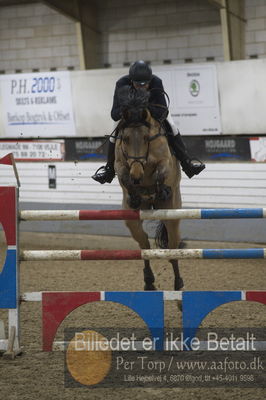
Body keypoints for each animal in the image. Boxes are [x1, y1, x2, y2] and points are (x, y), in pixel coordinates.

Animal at [113, 86, 184, 290]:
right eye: (126, 139)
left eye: (146, 138)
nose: (137, 175)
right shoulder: (120, 163)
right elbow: (123, 175)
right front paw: (134, 192)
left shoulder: (165, 161)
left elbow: (161, 172)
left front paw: (161, 190)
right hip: (132, 220)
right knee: (144, 244)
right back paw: (149, 281)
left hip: (172, 214)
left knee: (173, 247)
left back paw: (178, 283)